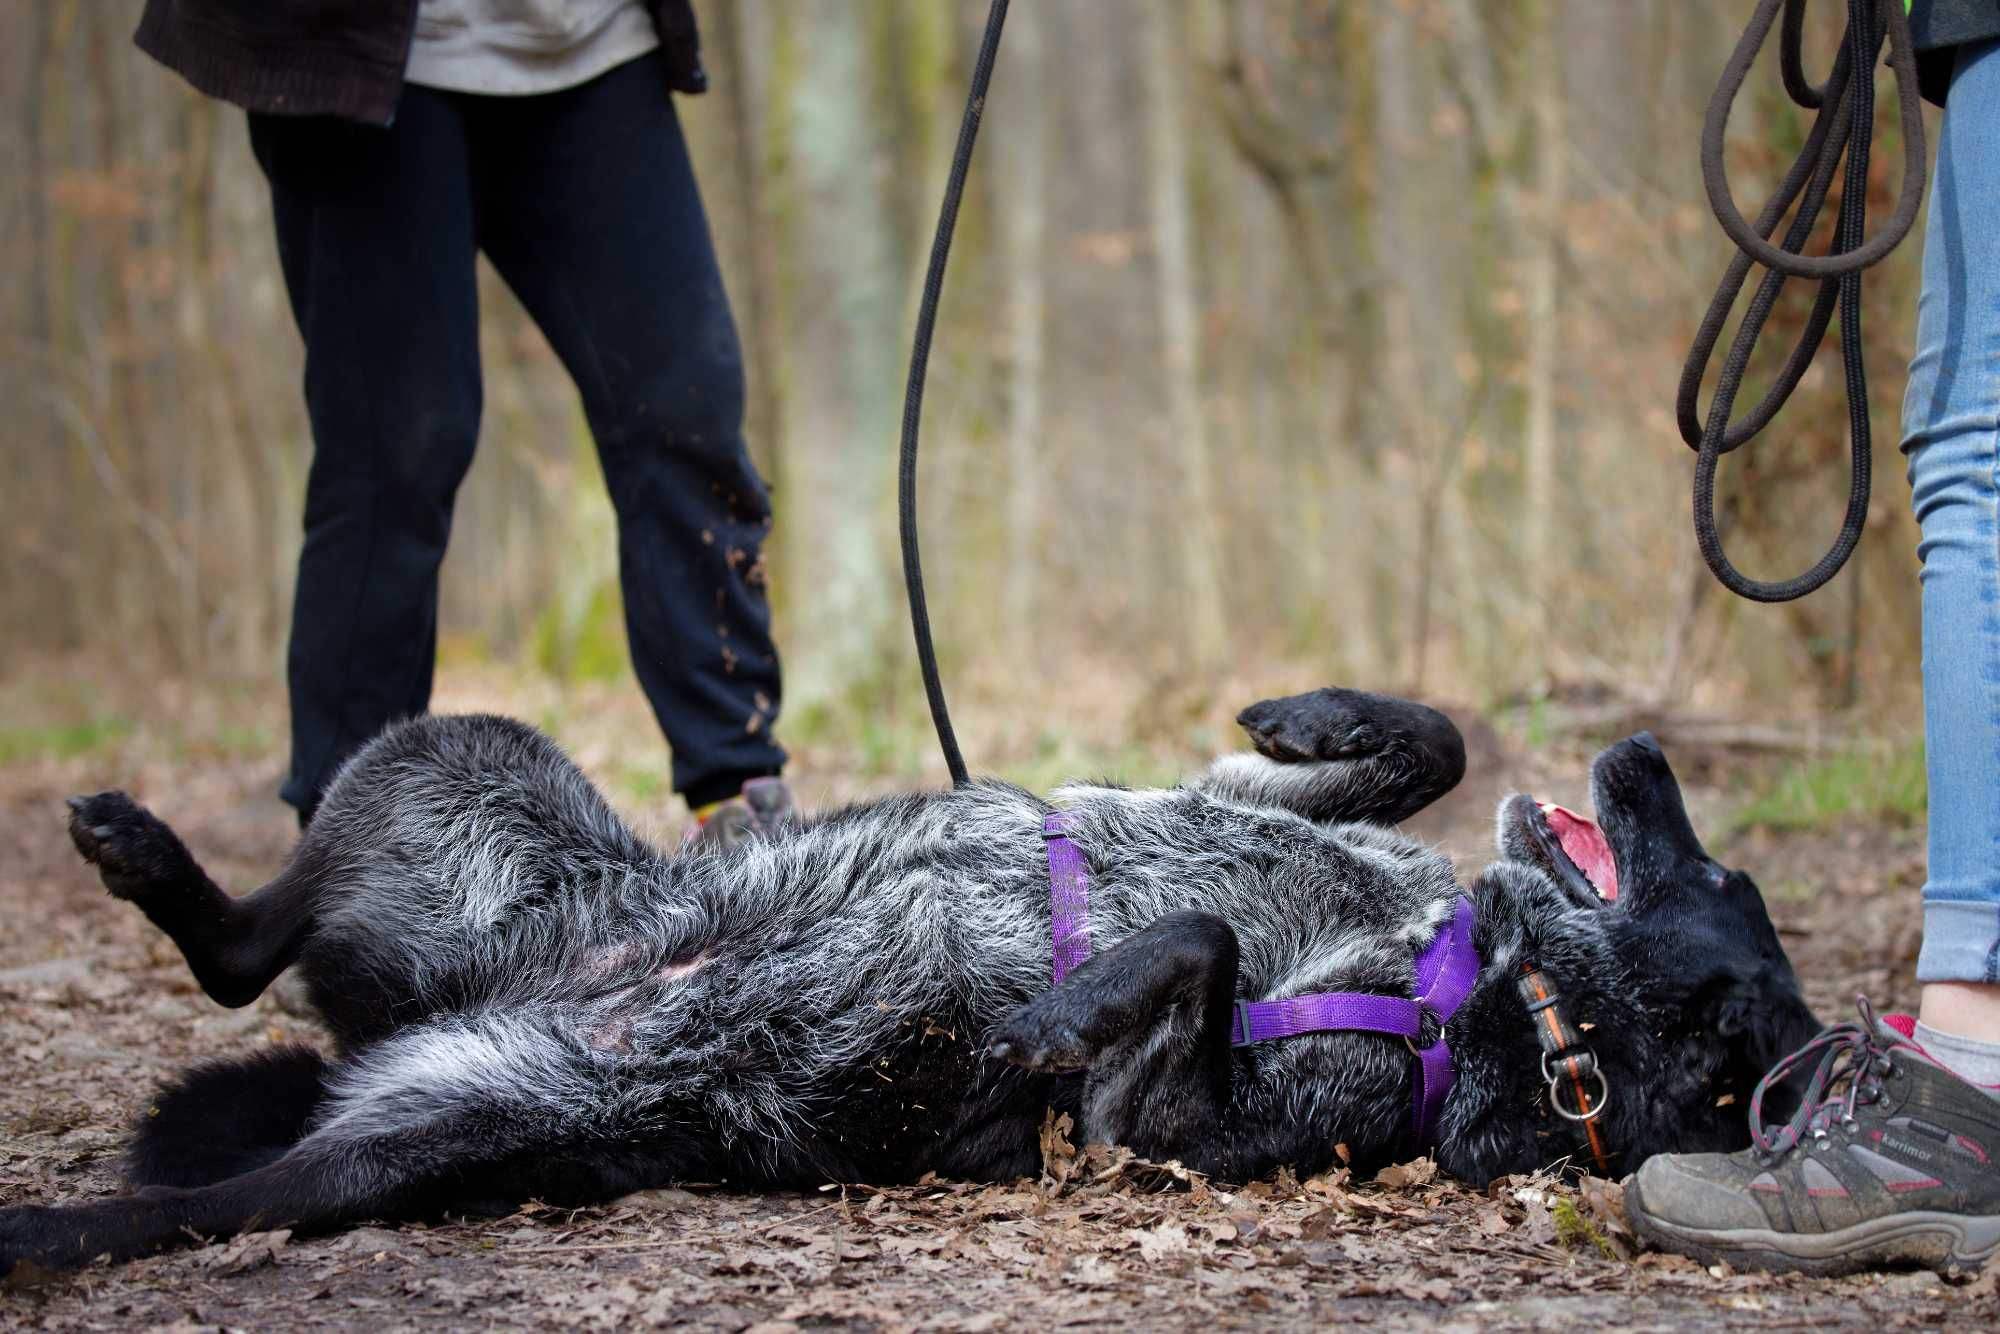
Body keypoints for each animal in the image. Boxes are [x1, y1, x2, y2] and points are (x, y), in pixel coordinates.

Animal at [0, 688, 1824, 1272]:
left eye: (1715, 877)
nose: (1647, 749)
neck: (1479, 979)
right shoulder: (1245, 805)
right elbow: (1410, 744)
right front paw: (1316, 706)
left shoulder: (1162, 1116)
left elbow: (1195, 949)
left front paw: (1048, 1008)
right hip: (455, 761)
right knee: (248, 948)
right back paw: (136, 847)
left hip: (419, 1134)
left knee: (225, 1143)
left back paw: (50, 1221)